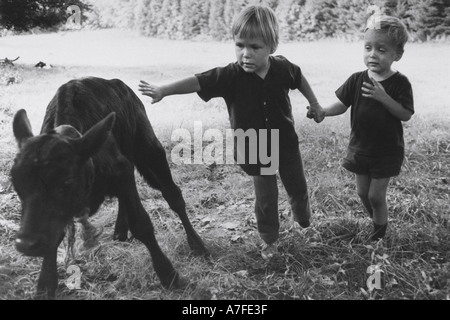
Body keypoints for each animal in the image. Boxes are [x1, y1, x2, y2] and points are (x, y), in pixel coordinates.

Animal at [10, 76, 207, 298]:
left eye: (66, 181)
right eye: (16, 183)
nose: (26, 244)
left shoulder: (122, 170)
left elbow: (142, 224)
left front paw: (168, 274)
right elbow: (54, 233)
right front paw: (45, 284)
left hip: (149, 148)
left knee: (173, 195)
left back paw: (197, 244)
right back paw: (120, 230)